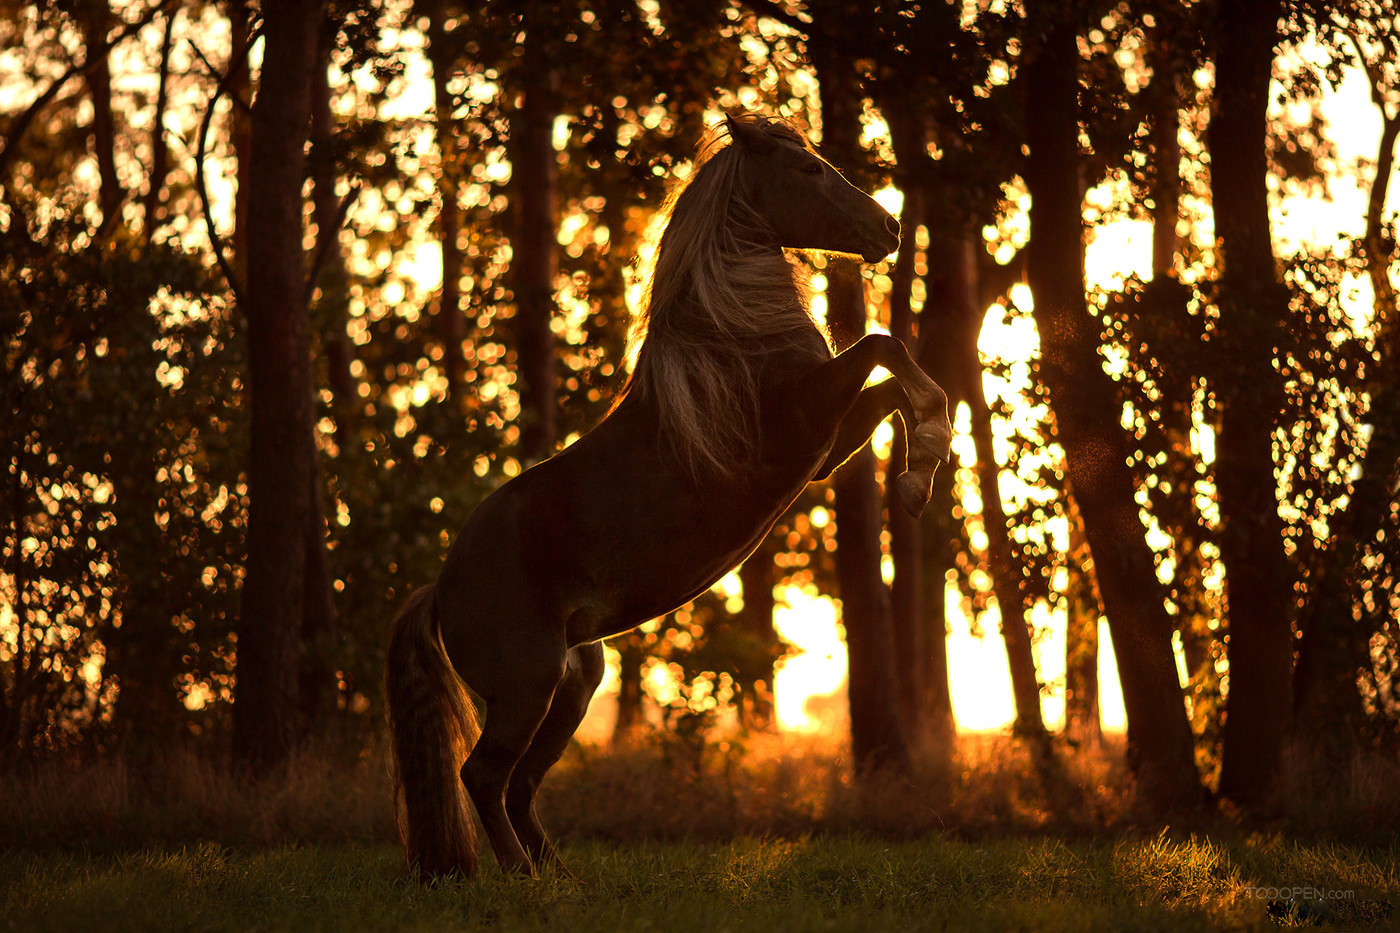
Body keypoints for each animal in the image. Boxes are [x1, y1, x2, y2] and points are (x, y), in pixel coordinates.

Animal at [386, 112, 952, 874]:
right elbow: (884, 346)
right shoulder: (806, 422)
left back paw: (558, 878)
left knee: (519, 783)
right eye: (808, 170)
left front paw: (920, 472)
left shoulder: (823, 449)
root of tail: (439, 590)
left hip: (573, 683)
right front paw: (922, 470)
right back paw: (521, 878)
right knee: (484, 775)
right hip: (528, 687)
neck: (731, 342)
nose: (888, 228)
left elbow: (896, 381)